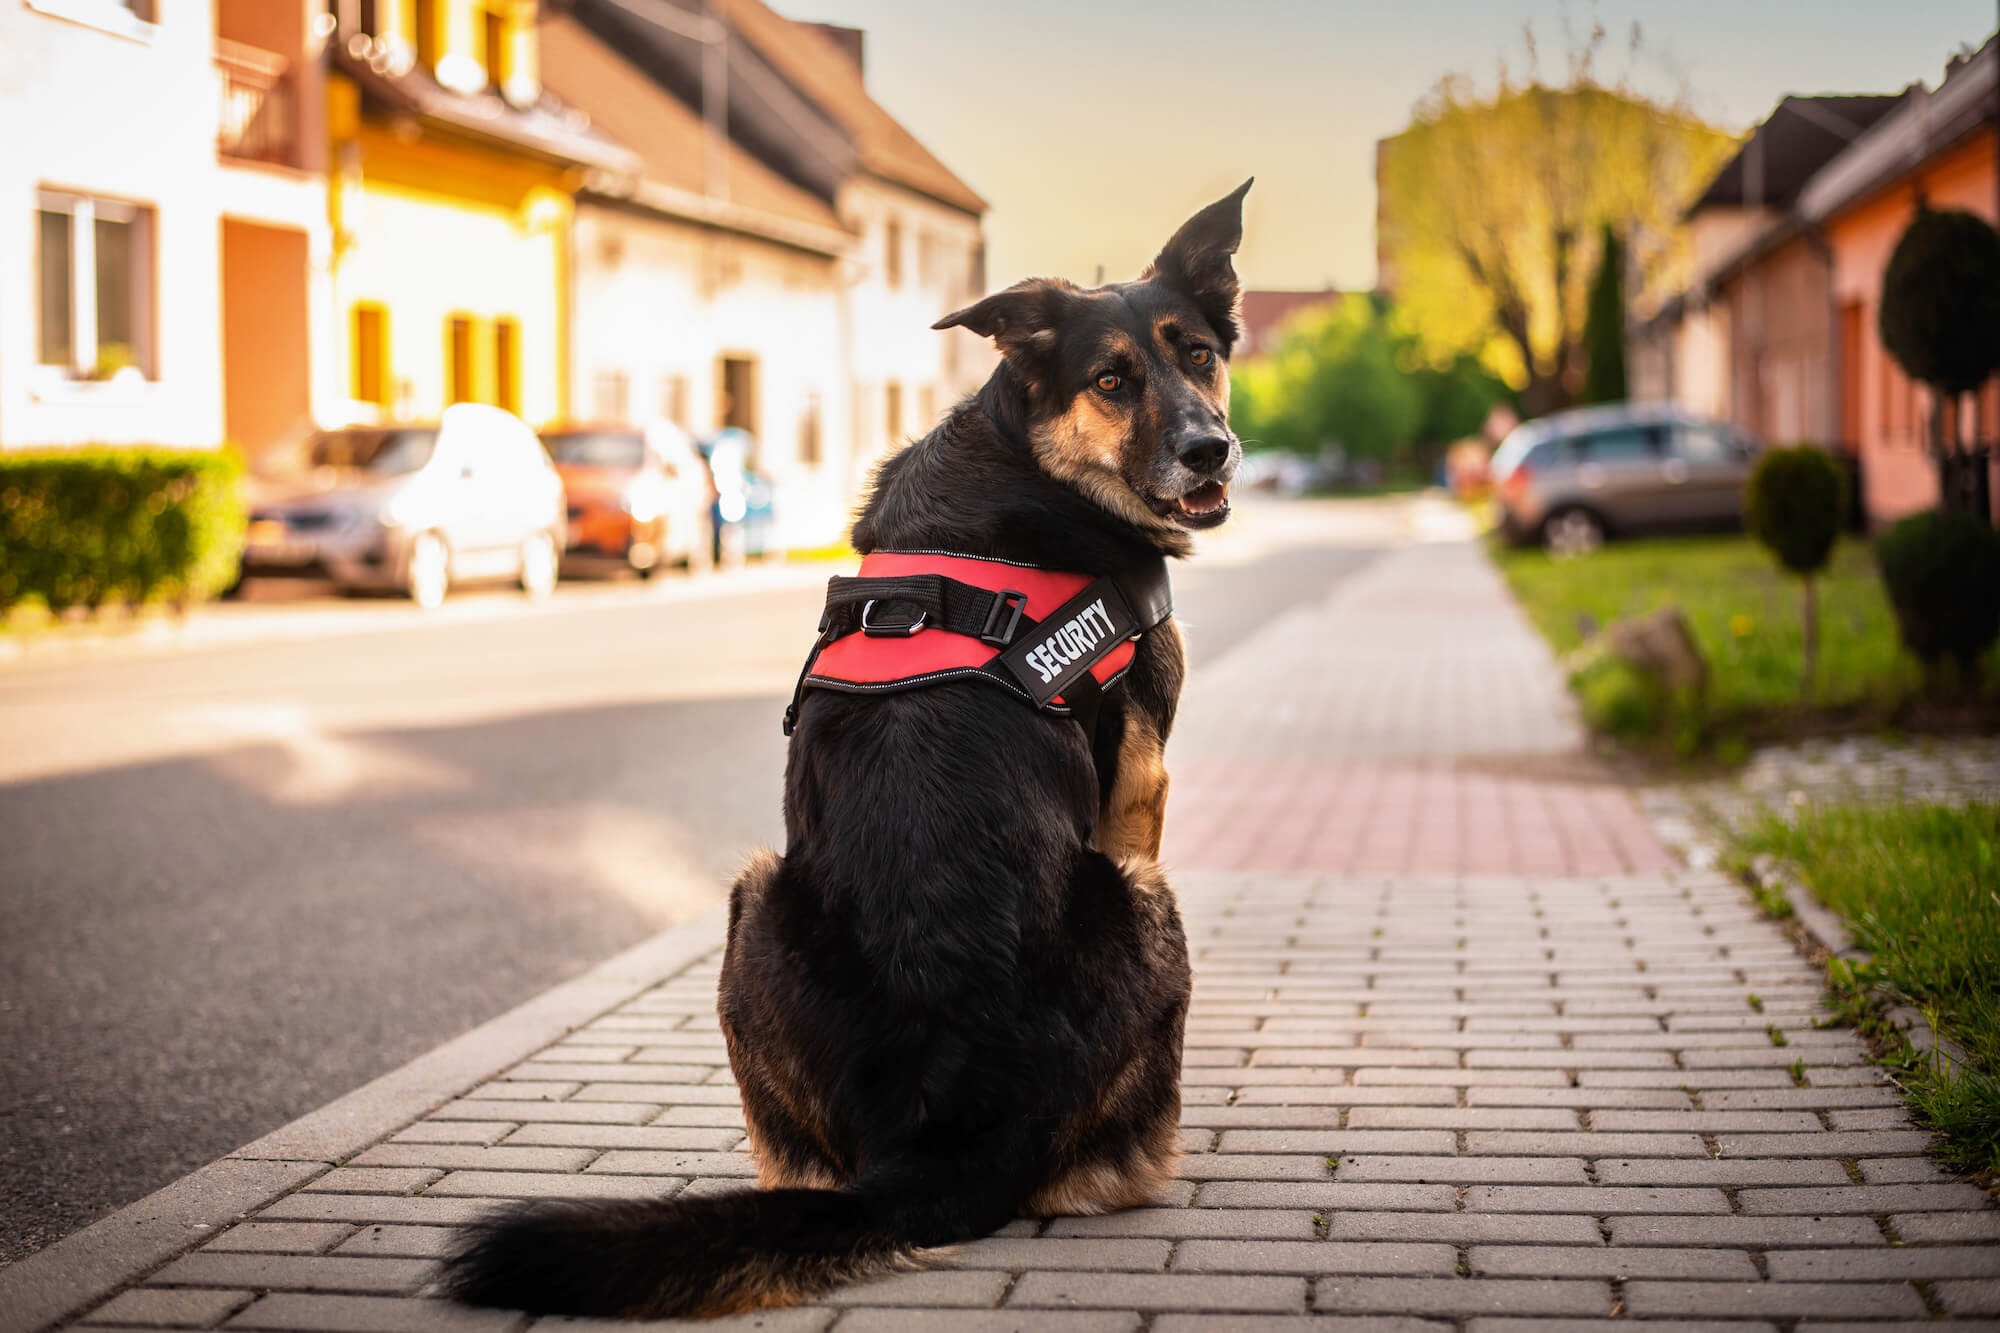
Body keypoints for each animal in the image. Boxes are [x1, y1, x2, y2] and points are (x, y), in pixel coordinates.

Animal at [438, 179, 1248, 1320]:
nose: (1208, 448)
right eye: (1111, 380)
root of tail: (934, 1140)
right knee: (1100, 1172)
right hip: (1136, 897)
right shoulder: (1139, 785)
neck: (1028, 459)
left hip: (754, 898)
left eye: (1199, 354)